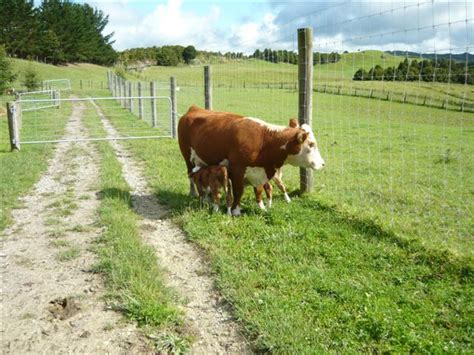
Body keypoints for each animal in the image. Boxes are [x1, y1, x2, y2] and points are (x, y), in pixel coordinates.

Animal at [178, 105, 326, 217]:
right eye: (311, 144)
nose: (323, 164)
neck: (264, 142)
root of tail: (194, 108)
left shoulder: (258, 172)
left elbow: (259, 190)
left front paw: (262, 207)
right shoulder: (237, 169)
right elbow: (239, 191)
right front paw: (236, 210)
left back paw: (208, 199)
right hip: (187, 157)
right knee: (190, 175)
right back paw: (194, 194)